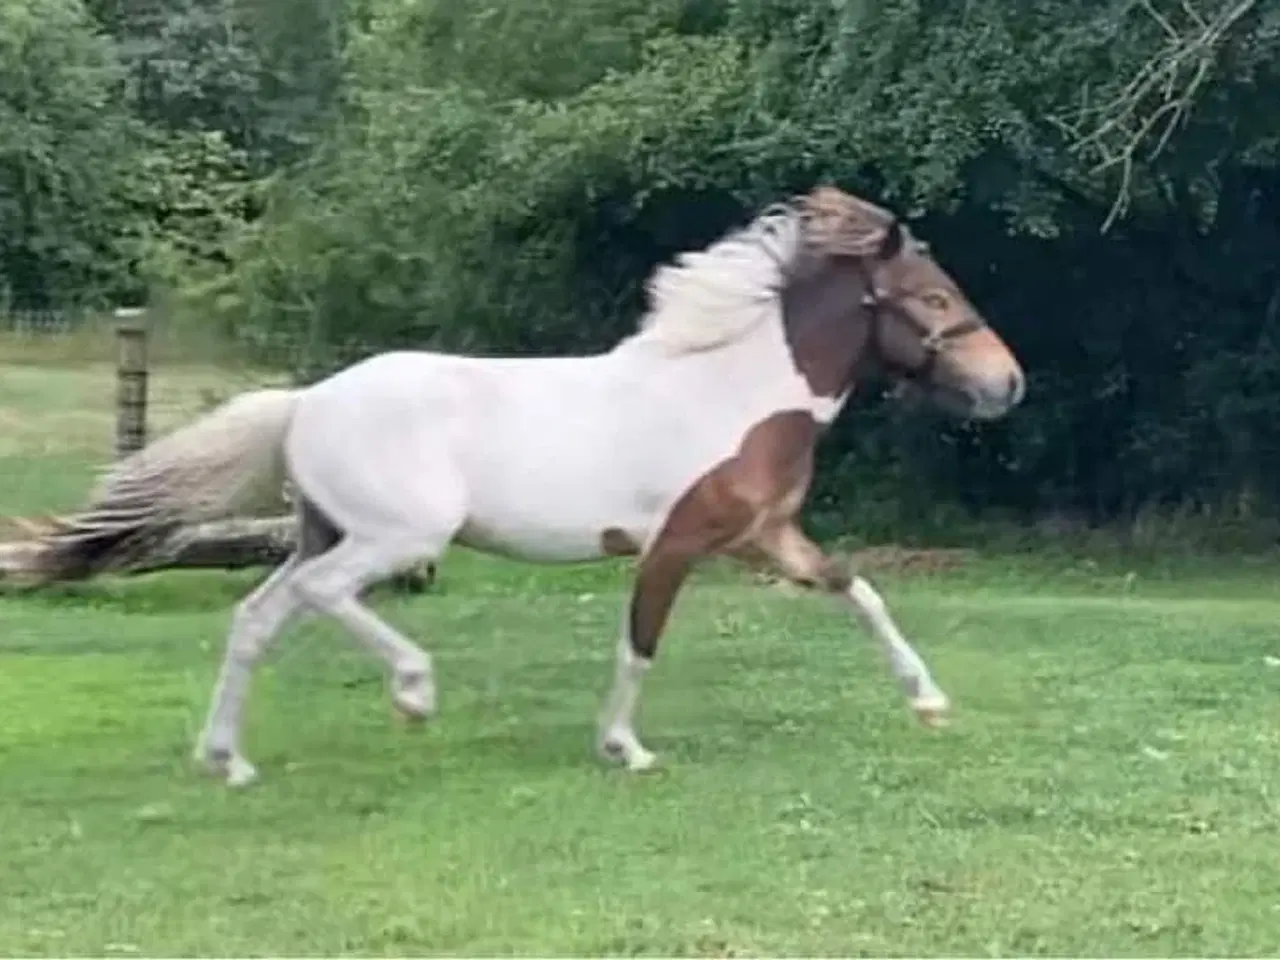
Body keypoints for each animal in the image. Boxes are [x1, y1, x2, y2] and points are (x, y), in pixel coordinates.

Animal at [30, 185, 1024, 788]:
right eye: (933, 297)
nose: (1007, 385)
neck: (735, 395)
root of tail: (307, 400)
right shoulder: (679, 544)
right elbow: (640, 643)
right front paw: (626, 748)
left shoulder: (766, 539)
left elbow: (860, 590)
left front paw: (928, 701)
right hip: (396, 538)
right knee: (320, 597)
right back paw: (413, 693)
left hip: (325, 530)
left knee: (257, 618)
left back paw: (228, 760)